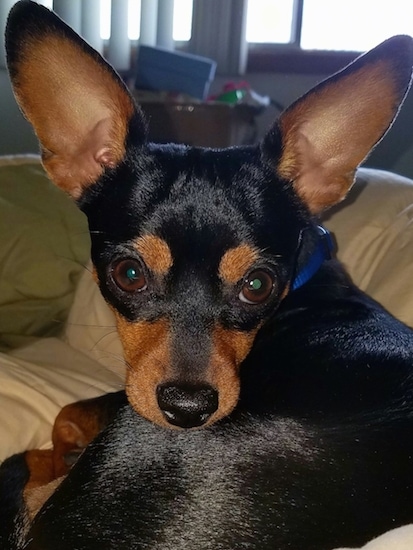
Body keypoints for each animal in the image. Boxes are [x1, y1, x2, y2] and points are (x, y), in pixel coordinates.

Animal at [2, 0, 412, 548]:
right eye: (128, 274)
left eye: (258, 286)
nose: (188, 408)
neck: (305, 283)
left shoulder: (122, 405)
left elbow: (66, 415)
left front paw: (57, 453)